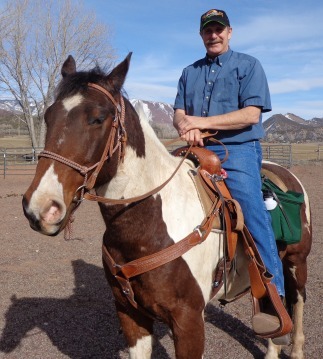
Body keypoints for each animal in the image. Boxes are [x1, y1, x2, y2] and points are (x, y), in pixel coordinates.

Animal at [22, 54, 312, 359]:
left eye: (98, 118)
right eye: (48, 116)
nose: (42, 206)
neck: (147, 226)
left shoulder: (188, 320)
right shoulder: (129, 314)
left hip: (297, 263)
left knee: (296, 301)